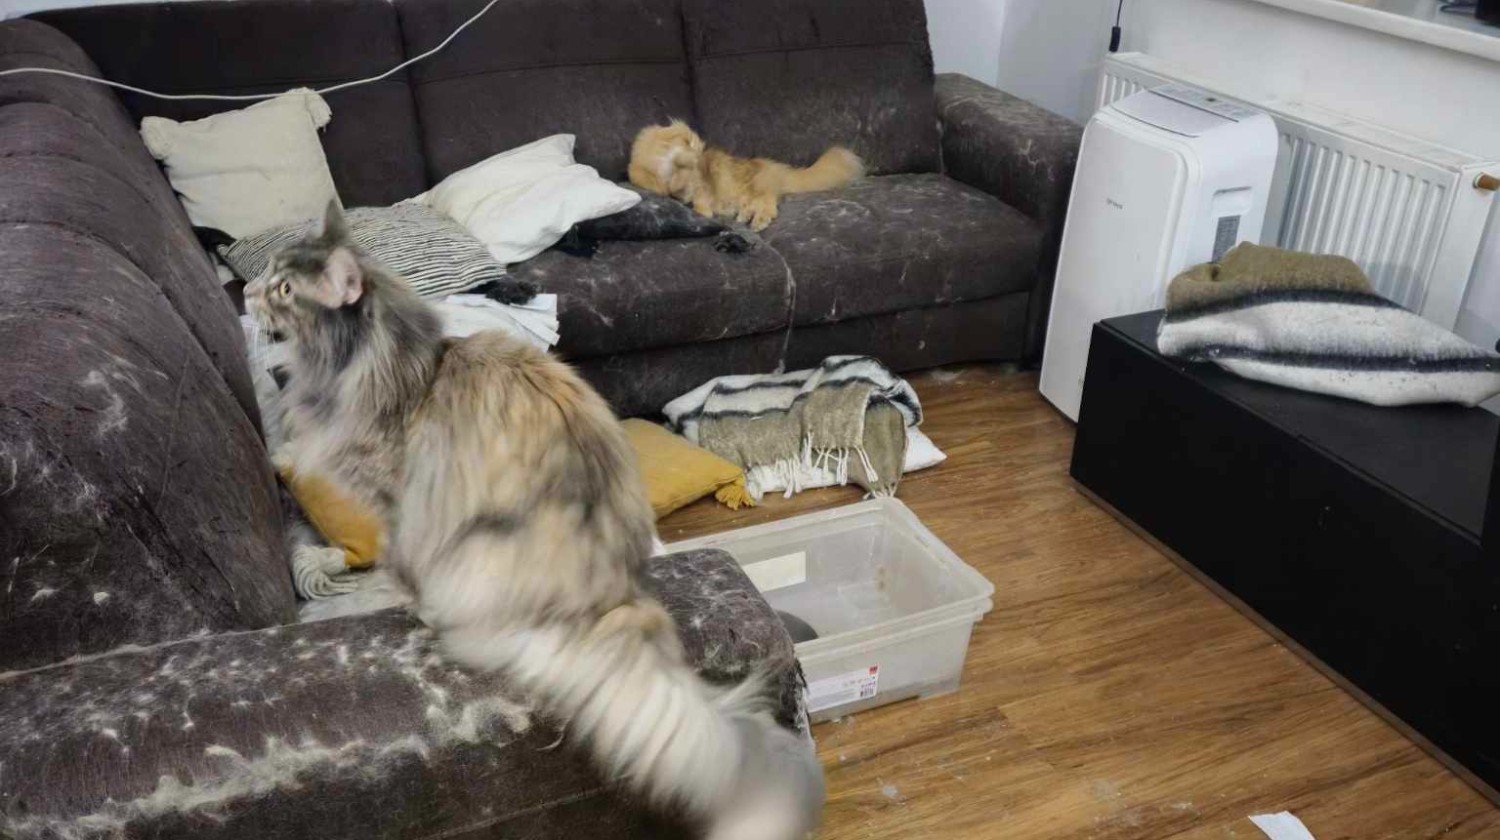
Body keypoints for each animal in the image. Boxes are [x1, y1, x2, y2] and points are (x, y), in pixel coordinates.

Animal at [245, 202, 824, 840]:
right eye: (270, 274)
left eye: (283, 288)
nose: (246, 292)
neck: (400, 367)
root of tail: (610, 596)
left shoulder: (396, 505)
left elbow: (402, 565)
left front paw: (408, 601)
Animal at [628, 119, 863, 231]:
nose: (701, 149)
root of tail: (775, 168)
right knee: (758, 204)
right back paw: (746, 215)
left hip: (755, 188)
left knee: (768, 204)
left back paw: (756, 219)